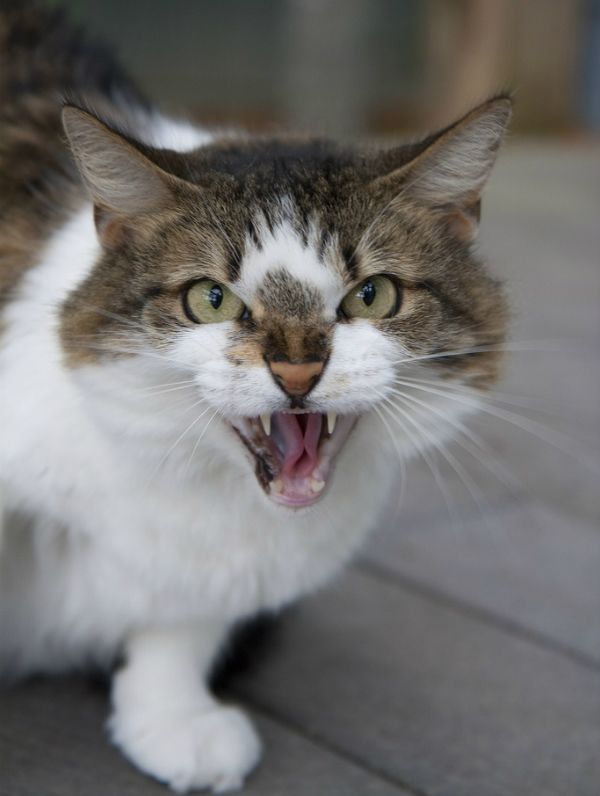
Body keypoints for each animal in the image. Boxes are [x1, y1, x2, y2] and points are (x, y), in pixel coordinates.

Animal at [1, 3, 510, 792]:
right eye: (210, 299)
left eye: (373, 295)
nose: (297, 373)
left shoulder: (217, 570)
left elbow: (183, 622)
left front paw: (171, 717)